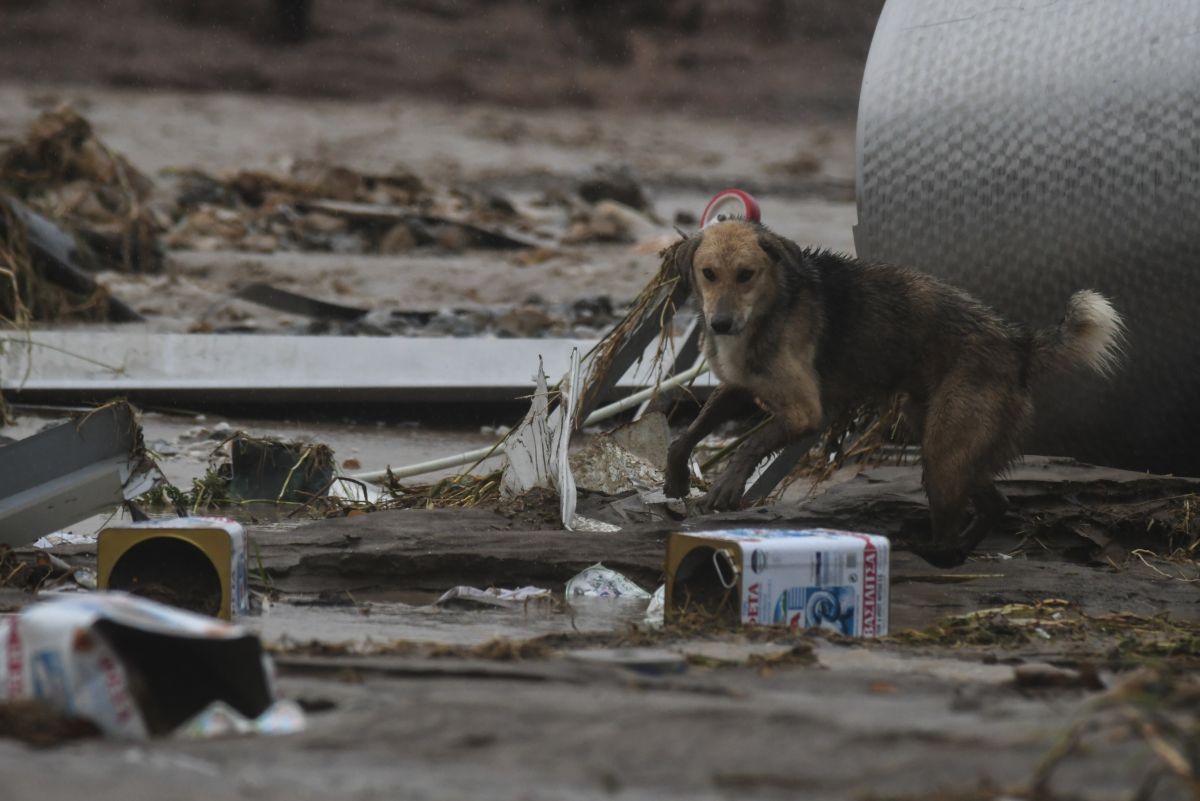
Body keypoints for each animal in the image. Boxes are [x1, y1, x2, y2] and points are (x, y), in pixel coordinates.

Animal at [667, 219, 1123, 565]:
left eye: (746, 274)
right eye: (709, 273)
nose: (721, 323)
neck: (772, 306)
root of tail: (1018, 342)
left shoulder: (803, 412)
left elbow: (751, 443)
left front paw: (727, 485)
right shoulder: (739, 387)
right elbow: (689, 434)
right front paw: (675, 479)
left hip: (944, 451)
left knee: (955, 516)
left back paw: (934, 554)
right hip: (944, 438)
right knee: (996, 502)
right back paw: (956, 552)